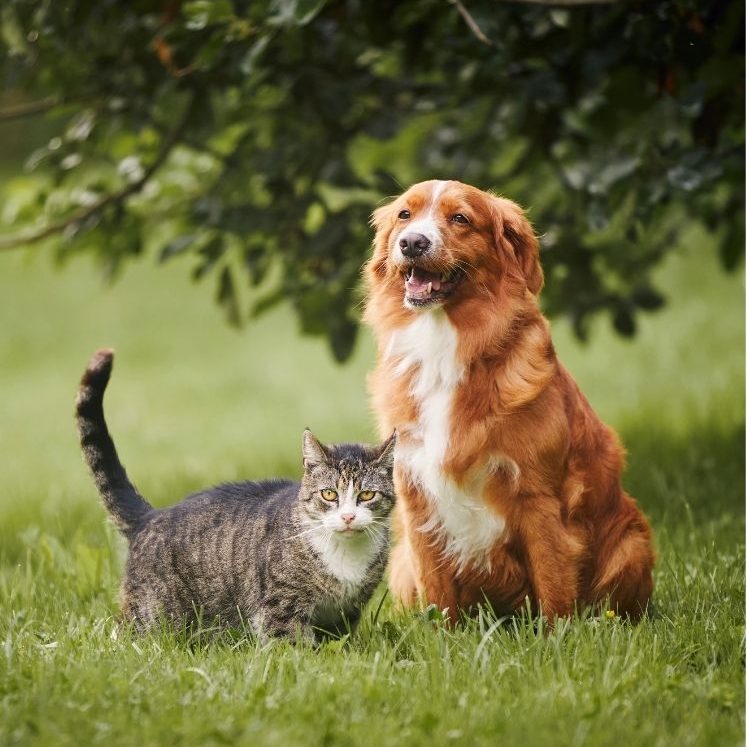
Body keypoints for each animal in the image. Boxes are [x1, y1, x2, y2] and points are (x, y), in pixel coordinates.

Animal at [75, 350, 398, 644]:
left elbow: (337, 641)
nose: (348, 516)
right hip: (152, 614)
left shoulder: (347, 611)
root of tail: (151, 516)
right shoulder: (281, 606)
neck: (346, 558)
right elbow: (291, 645)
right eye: (329, 494)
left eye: (367, 494)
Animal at [364, 180, 656, 620]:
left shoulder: (539, 496)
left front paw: (558, 635)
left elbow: (553, 585)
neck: (445, 345)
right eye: (404, 215)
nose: (412, 242)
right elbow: (437, 596)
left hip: (632, 543)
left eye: (460, 218)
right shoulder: (416, 496)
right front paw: (440, 634)